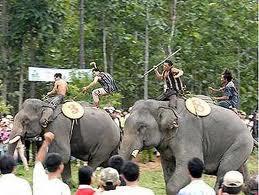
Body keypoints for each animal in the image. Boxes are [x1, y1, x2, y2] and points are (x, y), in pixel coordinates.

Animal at [120, 98, 254, 194]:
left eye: (141, 127)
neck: (163, 104)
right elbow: (168, 168)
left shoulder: (186, 133)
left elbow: (187, 165)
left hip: (241, 144)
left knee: (223, 172)